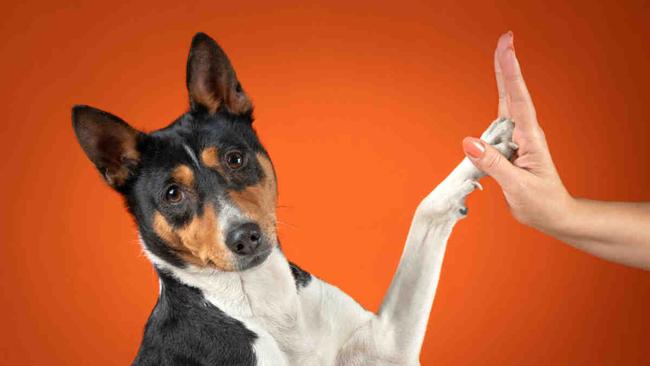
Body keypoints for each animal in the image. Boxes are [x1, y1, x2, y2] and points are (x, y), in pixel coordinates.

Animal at [71, 33, 512, 364]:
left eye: (235, 158)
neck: (270, 306)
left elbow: (426, 213)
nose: (244, 236)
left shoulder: (386, 345)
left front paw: (485, 149)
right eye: (173, 194)